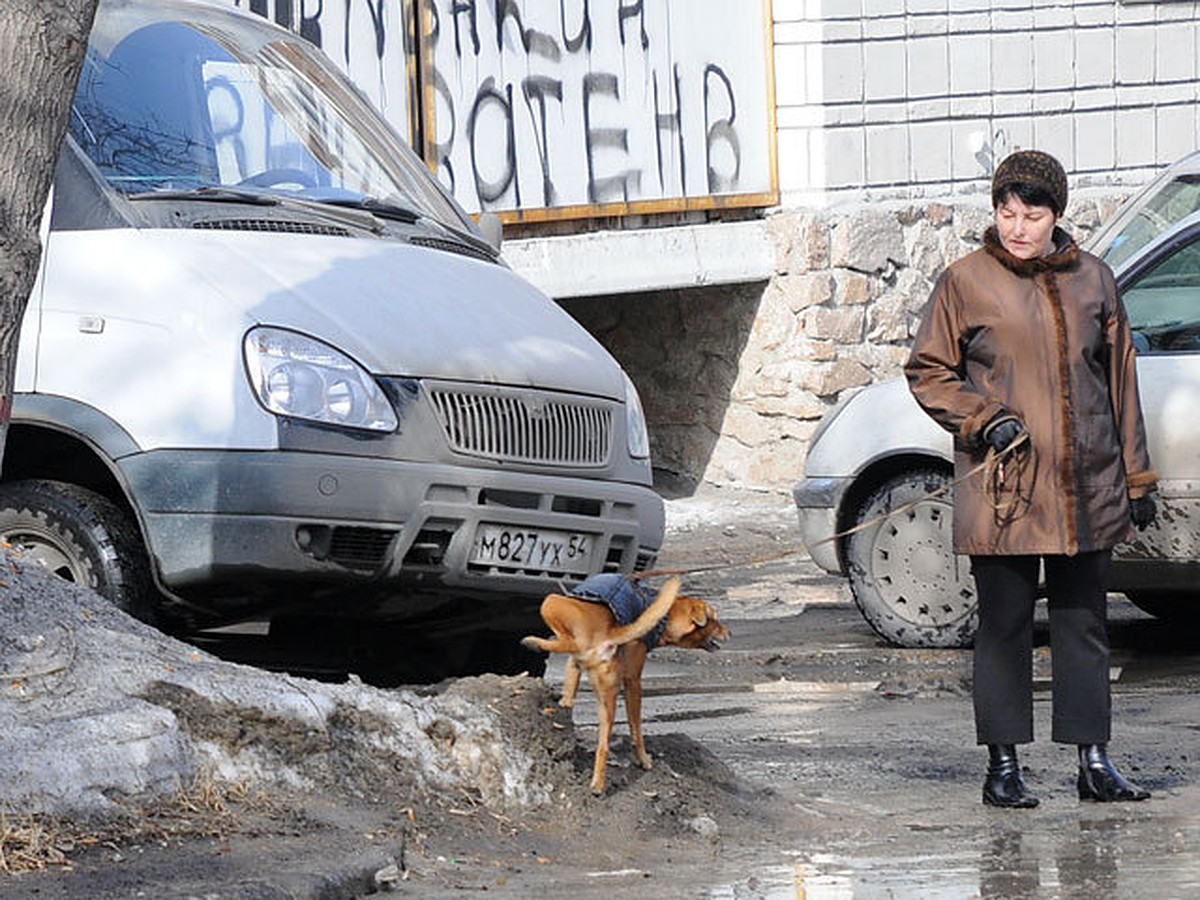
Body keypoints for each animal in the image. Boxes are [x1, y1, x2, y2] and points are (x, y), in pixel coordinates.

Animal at [523, 578, 729, 796]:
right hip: (607, 698)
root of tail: (608, 634)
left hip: (551, 601)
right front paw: (565, 703)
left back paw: (534, 642)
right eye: (715, 620)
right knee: (603, 745)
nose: (730, 632)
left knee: (569, 643)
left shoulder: (632, 679)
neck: (667, 616)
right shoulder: (620, 677)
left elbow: (635, 727)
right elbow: (572, 687)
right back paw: (598, 784)